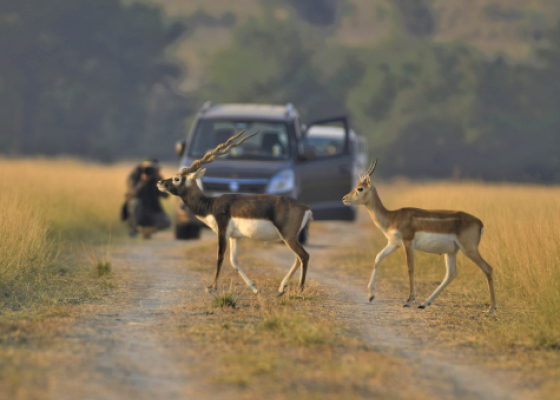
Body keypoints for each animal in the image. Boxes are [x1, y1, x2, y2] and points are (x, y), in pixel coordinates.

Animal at [160, 130, 312, 294]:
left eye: (177, 179)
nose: (160, 182)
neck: (211, 205)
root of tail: (306, 208)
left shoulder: (222, 231)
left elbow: (220, 256)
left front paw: (212, 287)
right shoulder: (235, 237)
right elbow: (233, 261)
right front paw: (254, 288)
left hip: (287, 236)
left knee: (304, 256)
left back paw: (299, 289)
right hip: (290, 237)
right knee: (297, 258)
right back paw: (282, 288)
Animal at [342, 159, 494, 312]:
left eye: (360, 188)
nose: (344, 198)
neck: (392, 217)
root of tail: (480, 223)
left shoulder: (408, 242)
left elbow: (410, 267)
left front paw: (408, 300)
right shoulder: (394, 243)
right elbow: (378, 258)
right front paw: (371, 296)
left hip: (469, 249)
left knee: (488, 268)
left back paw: (491, 308)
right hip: (451, 251)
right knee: (451, 274)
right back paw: (424, 303)